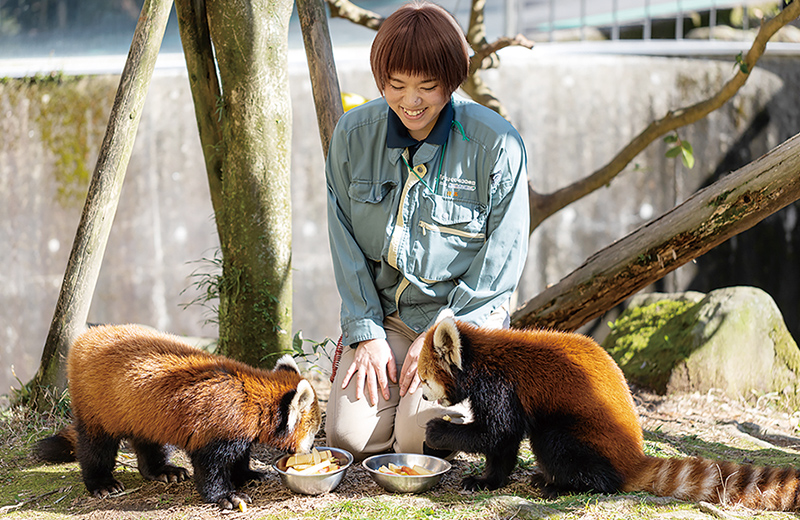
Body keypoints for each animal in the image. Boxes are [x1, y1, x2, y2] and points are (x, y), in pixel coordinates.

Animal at [36, 322, 320, 510]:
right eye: (314, 433)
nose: (309, 450)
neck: (251, 400)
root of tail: (89, 335)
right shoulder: (215, 428)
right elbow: (210, 466)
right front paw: (226, 496)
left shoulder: (240, 429)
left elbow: (239, 457)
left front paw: (248, 475)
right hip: (97, 403)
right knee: (96, 446)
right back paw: (102, 483)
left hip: (143, 412)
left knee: (149, 441)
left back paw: (162, 471)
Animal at [418, 310, 800, 510]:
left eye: (422, 379)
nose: (421, 397)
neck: (480, 355)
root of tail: (635, 456)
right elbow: (504, 444)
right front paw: (487, 481)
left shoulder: (501, 386)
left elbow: (497, 433)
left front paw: (438, 432)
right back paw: (547, 478)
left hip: (582, 438)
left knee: (556, 442)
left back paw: (566, 487)